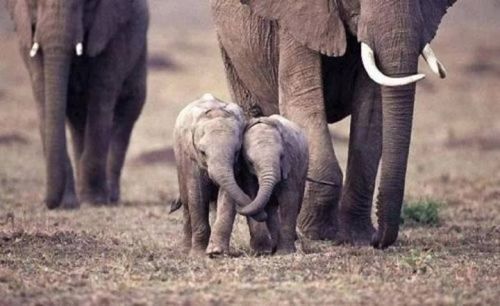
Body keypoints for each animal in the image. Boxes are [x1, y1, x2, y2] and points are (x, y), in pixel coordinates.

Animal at [5, 0, 149, 208]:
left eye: (85, 3)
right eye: (34, 3)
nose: (48, 203)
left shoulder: (111, 34)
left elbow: (100, 100)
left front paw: (94, 202)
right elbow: (43, 97)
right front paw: (68, 204)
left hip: (140, 56)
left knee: (126, 115)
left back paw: (110, 197)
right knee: (78, 121)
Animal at [172, 94, 266, 256]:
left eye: (237, 151)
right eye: (202, 152)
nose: (264, 214)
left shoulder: (235, 165)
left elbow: (227, 196)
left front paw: (216, 252)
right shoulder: (191, 158)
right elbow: (197, 195)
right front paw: (198, 255)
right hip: (179, 161)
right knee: (186, 202)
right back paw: (185, 250)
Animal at [207, 115, 308, 256]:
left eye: (282, 156)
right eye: (250, 162)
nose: (239, 206)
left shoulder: (291, 164)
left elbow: (289, 200)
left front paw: (284, 253)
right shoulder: (247, 173)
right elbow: (253, 194)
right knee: (271, 207)